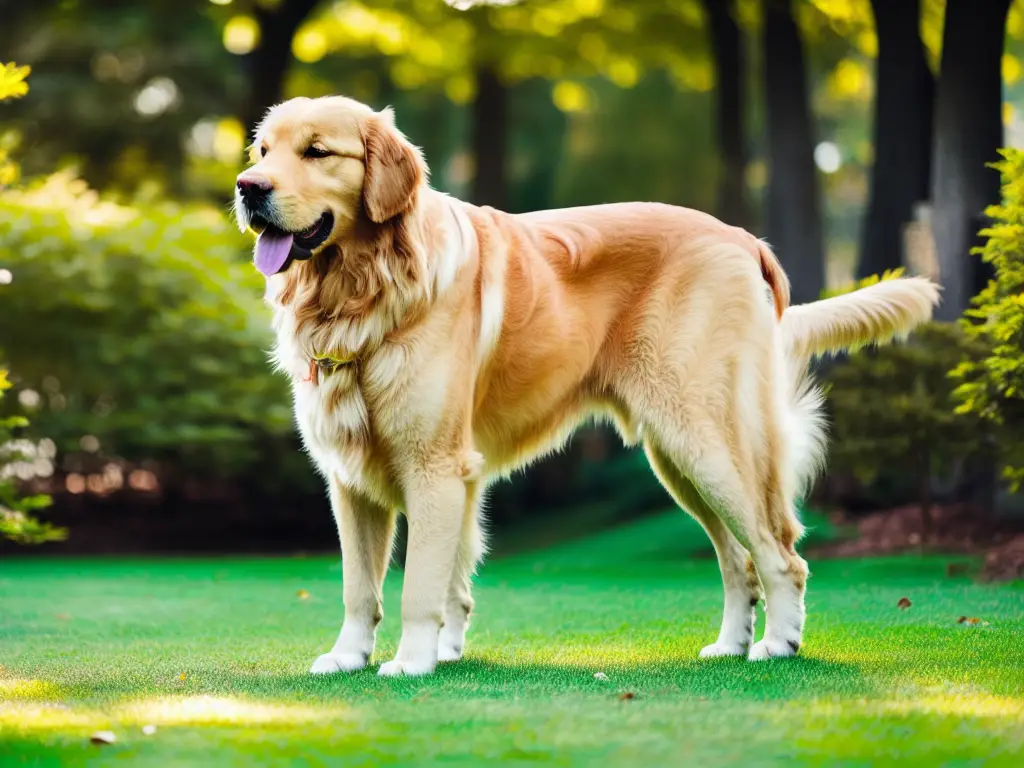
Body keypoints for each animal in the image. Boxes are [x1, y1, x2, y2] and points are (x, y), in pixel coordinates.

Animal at [235, 96, 937, 679]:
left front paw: (411, 663)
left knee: (778, 553)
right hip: (677, 458)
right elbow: (364, 588)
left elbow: (418, 588)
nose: (247, 188)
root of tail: (743, 239)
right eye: (263, 151)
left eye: (317, 151)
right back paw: (730, 645)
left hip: (707, 441)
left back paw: (778, 644)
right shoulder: (355, 476)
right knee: (738, 562)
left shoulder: (433, 465)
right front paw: (353, 657)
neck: (364, 288)